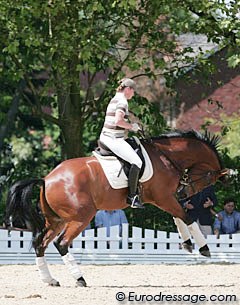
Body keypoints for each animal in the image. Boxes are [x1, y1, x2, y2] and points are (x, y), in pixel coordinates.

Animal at [5, 130, 227, 284]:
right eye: (208, 178)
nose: (183, 193)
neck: (165, 156)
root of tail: (47, 179)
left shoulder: (163, 199)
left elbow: (178, 217)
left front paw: (188, 244)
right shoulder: (164, 197)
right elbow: (186, 217)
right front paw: (204, 248)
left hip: (56, 220)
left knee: (40, 243)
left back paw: (49, 280)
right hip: (80, 218)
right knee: (61, 243)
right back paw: (80, 279)